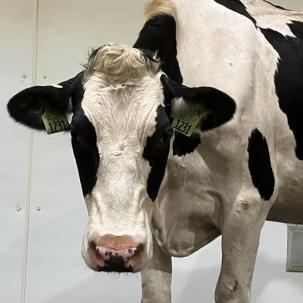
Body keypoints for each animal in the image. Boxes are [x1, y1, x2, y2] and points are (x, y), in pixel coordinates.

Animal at [5, 0, 303, 302]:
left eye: (163, 135)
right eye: (77, 135)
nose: (114, 249)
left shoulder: (247, 205)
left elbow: (230, 290)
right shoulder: (148, 220)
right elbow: (155, 292)